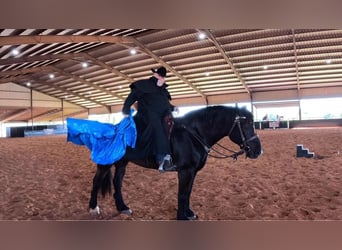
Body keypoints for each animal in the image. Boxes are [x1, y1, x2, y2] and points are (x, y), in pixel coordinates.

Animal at [87, 105, 262, 219]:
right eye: (246, 124)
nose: (258, 151)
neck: (193, 135)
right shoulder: (185, 171)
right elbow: (182, 194)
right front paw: (182, 216)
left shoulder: (192, 172)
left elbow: (188, 192)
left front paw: (189, 213)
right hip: (106, 163)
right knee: (96, 181)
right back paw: (93, 208)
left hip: (122, 163)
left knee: (117, 182)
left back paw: (123, 207)